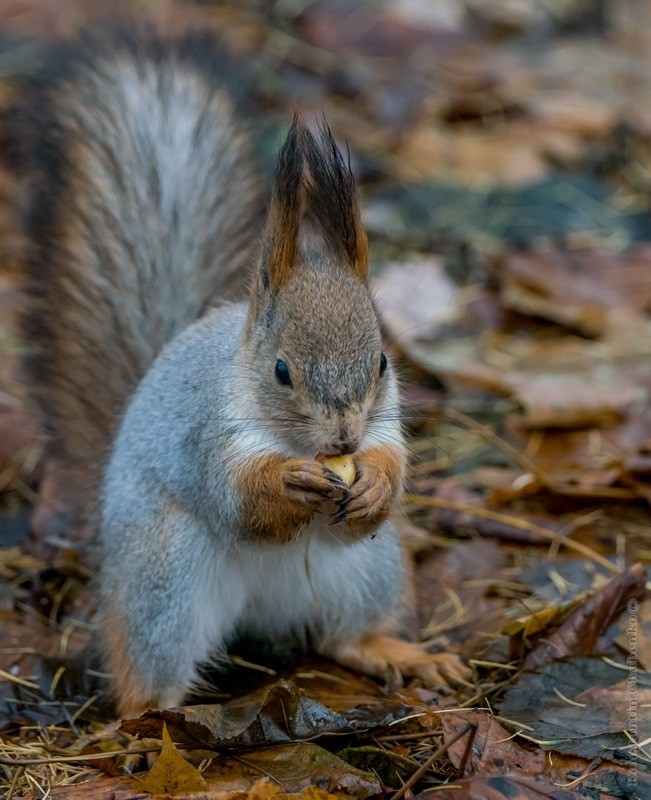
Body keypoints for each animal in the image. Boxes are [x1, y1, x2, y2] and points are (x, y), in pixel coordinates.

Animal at [20, 28, 468, 716]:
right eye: (281, 370)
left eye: (383, 359)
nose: (344, 438)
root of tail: (260, 608)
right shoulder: (207, 437)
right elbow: (239, 500)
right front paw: (289, 483)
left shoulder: (384, 427)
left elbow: (390, 467)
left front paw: (373, 485)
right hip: (165, 581)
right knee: (147, 671)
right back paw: (152, 719)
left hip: (367, 572)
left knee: (342, 636)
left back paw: (398, 652)